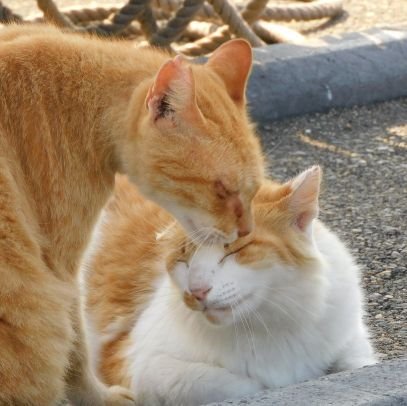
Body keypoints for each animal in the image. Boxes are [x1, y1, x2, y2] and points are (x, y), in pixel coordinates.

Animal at [0, 25, 264, 406]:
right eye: (222, 189)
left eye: (253, 190)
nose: (244, 231)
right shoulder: (62, 270)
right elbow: (77, 350)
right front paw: (97, 397)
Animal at [84, 168, 378, 406]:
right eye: (184, 258)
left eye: (234, 250)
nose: (197, 291)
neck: (267, 325)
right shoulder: (135, 363)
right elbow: (244, 385)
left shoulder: (350, 338)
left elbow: (359, 363)